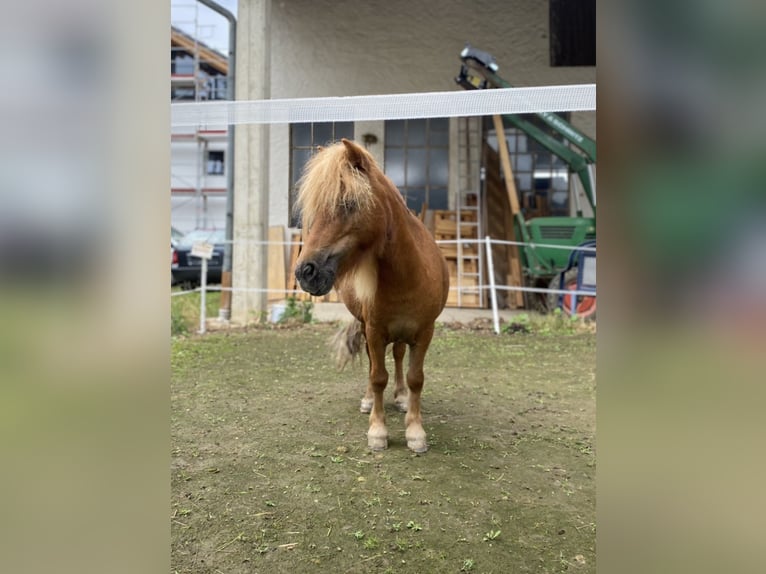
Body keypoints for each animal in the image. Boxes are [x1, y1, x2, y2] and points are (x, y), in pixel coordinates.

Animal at [294, 139, 449, 453]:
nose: (305, 272)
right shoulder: (375, 331)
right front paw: (377, 431)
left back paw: (401, 397)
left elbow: (416, 378)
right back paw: (368, 401)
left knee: (399, 356)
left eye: (348, 204)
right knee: (372, 364)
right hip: (368, 330)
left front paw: (415, 431)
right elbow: (378, 376)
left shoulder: (424, 332)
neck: (407, 276)